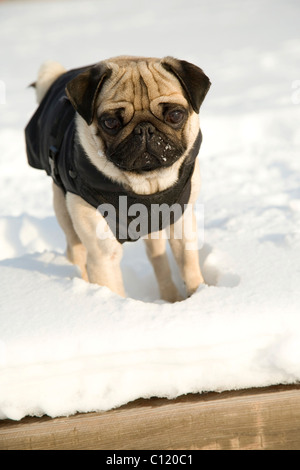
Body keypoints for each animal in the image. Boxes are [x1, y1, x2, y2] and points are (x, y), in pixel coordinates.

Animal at [25, 57, 211, 302]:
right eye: (111, 122)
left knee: (158, 259)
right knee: (76, 254)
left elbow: (189, 269)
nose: (144, 129)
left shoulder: (182, 225)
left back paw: (171, 298)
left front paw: (197, 296)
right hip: (67, 218)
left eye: (175, 115)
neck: (145, 185)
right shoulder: (103, 255)